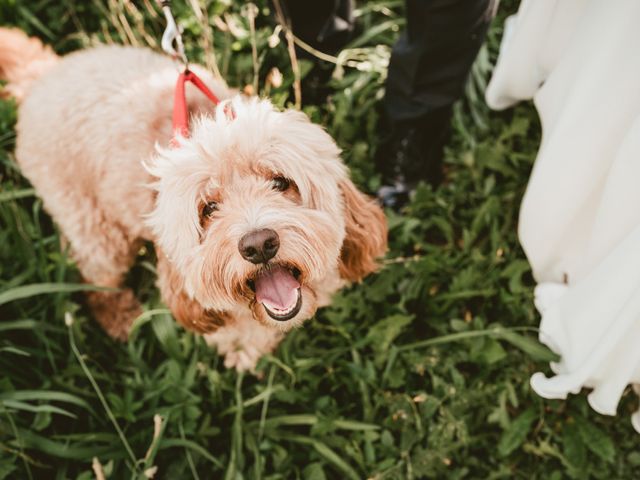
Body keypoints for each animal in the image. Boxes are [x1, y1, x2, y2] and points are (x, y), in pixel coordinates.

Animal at [0, 28, 388, 370]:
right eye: (208, 209)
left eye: (281, 182)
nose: (259, 245)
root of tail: (45, 74)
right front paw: (248, 355)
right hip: (93, 226)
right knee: (95, 278)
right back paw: (121, 317)